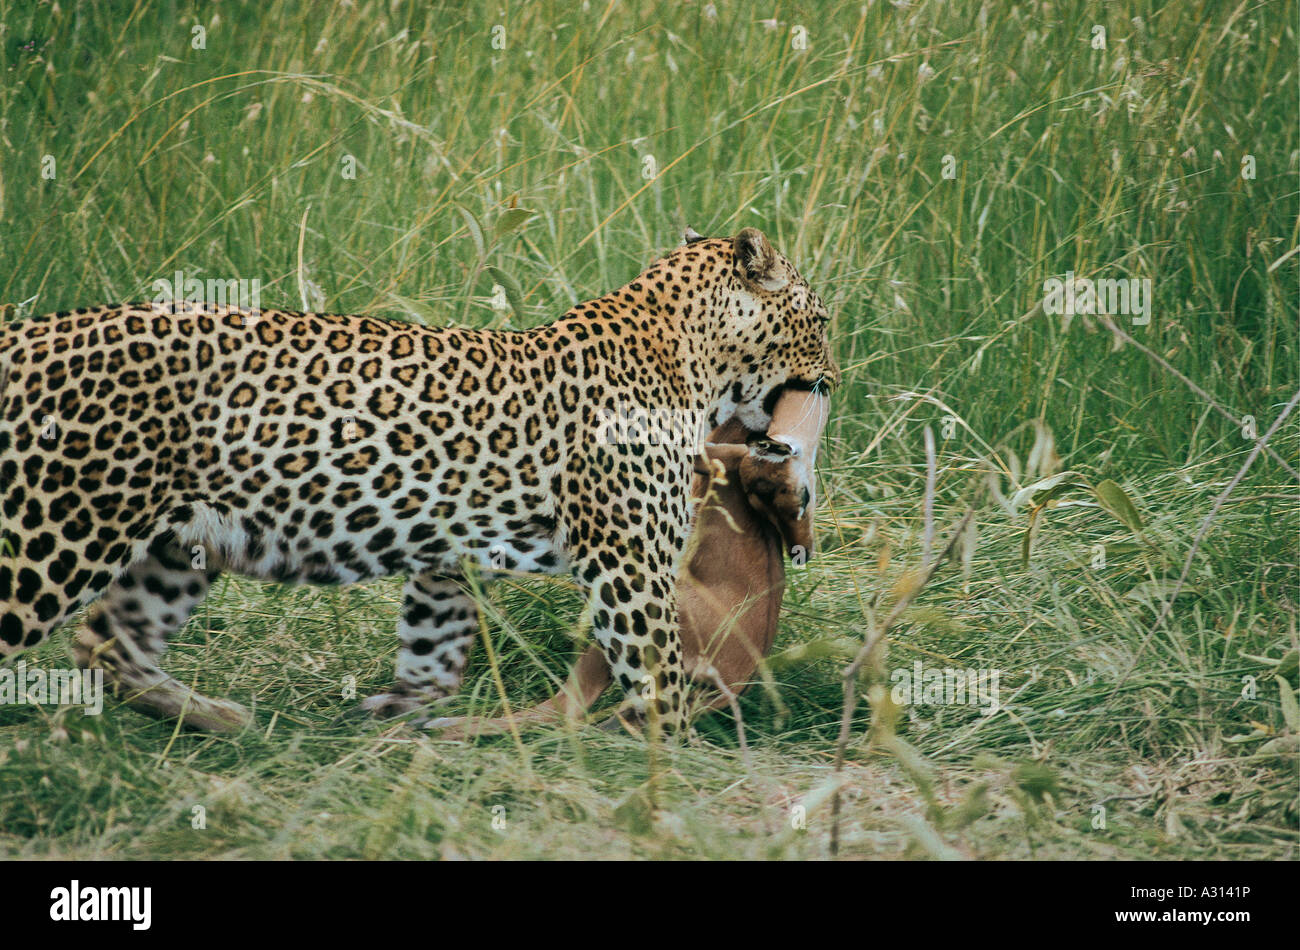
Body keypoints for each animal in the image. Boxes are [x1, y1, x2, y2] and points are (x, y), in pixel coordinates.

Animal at [0, 228, 837, 738]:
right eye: (821, 319)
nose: (834, 373)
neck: (689, 356)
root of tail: (32, 330)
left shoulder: (452, 556)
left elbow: (432, 652)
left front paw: (402, 721)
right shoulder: (627, 559)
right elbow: (655, 662)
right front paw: (670, 756)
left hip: (180, 543)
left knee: (108, 642)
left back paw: (220, 720)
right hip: (57, 533)